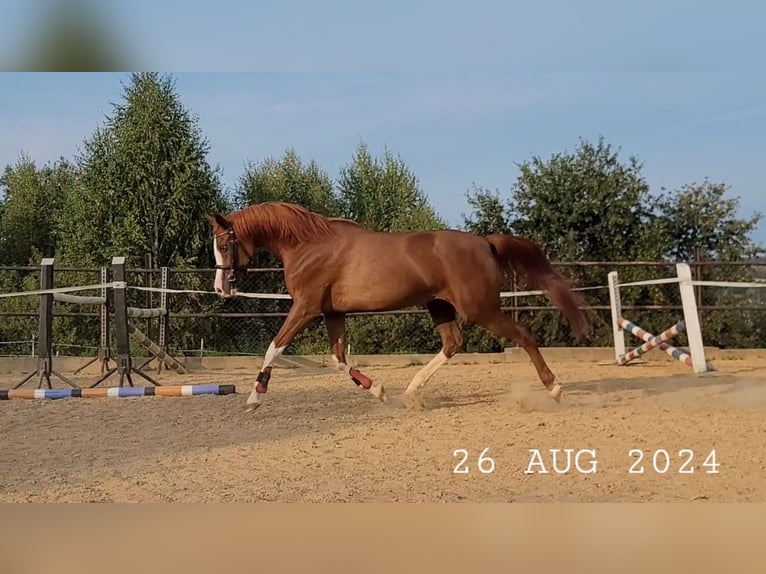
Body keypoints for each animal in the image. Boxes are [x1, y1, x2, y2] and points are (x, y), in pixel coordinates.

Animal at [206, 201, 589, 413]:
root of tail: (484, 243)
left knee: (523, 335)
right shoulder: (333, 313)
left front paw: (254, 398)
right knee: (452, 344)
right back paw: (410, 394)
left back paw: (554, 388)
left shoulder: (306, 308)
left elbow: (273, 348)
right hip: (440, 306)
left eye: (225, 245)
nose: (220, 289)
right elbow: (338, 359)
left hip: (481, 308)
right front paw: (378, 390)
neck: (308, 245)